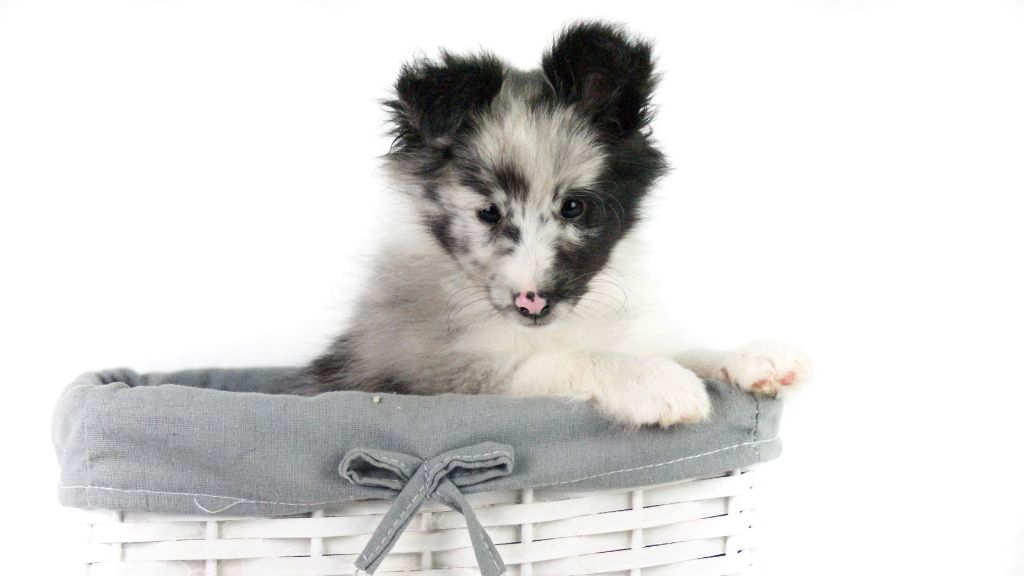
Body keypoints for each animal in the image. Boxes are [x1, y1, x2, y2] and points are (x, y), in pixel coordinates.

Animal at [298, 22, 811, 427]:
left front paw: (749, 357)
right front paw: (652, 380)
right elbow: (560, 361)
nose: (532, 301)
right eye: (489, 212)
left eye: (573, 207)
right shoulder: (445, 377)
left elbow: (674, 348)